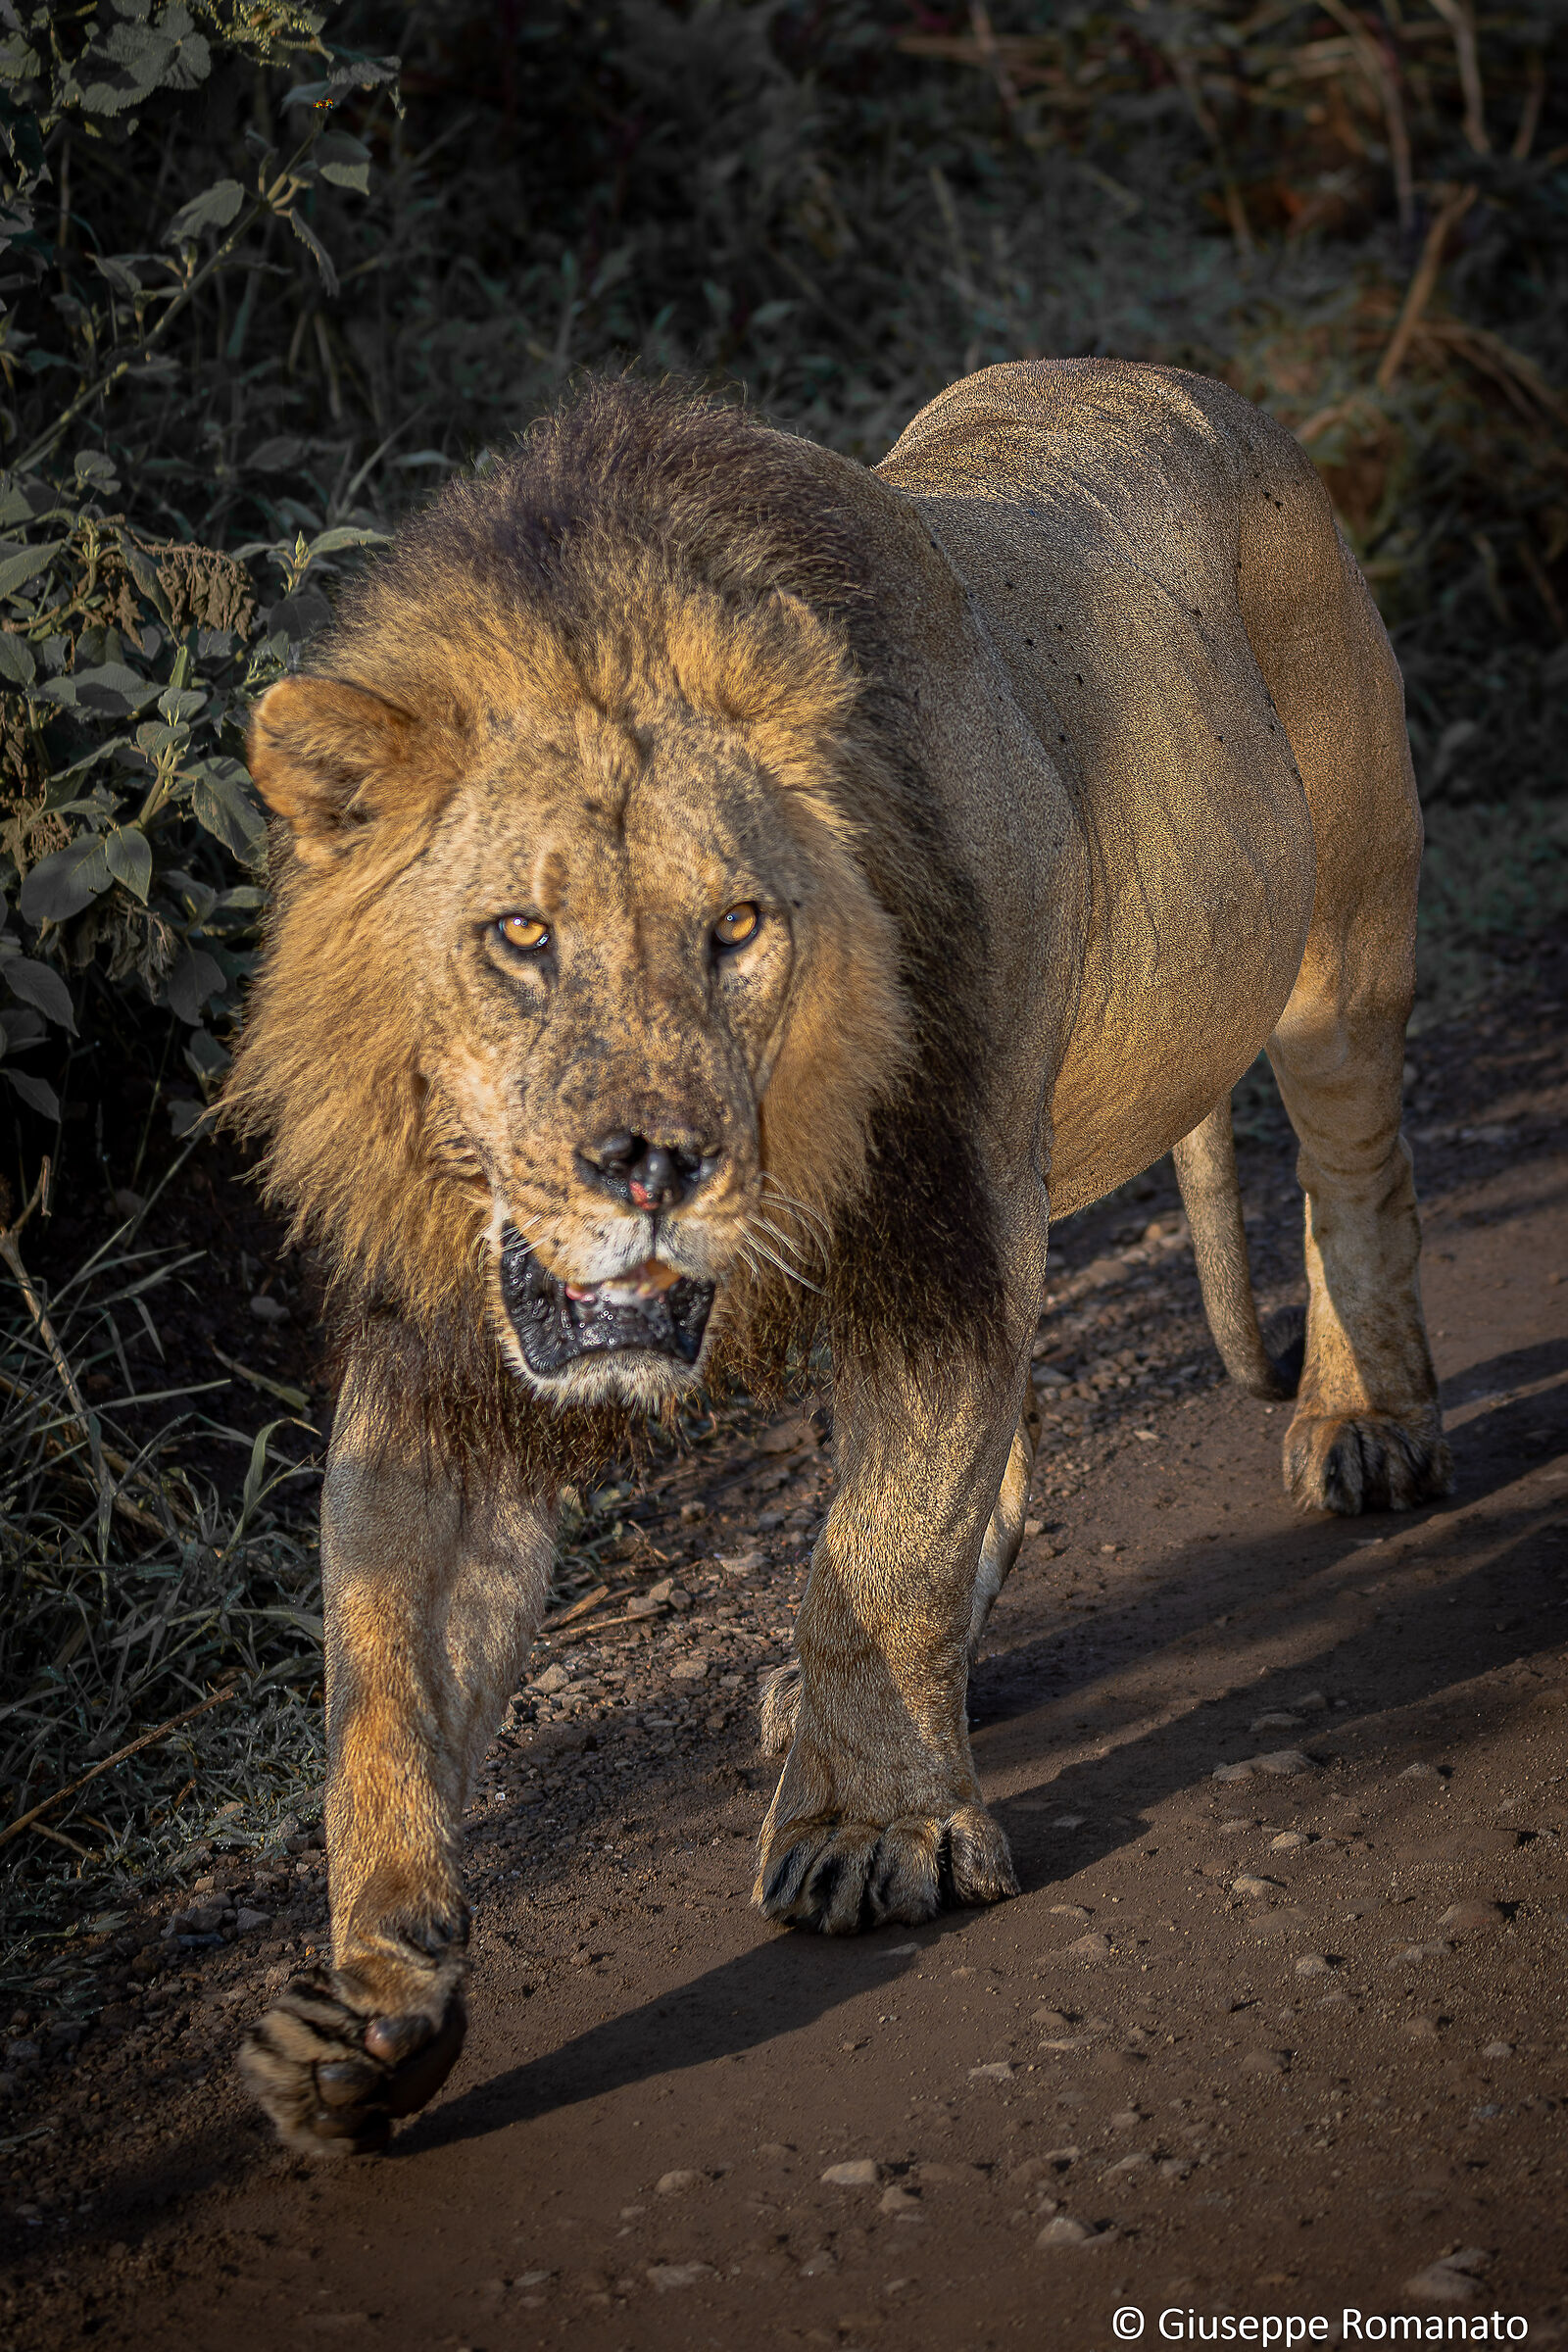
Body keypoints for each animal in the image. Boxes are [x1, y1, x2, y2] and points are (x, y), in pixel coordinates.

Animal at [229, 362, 1449, 2156]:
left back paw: (1366, 1430)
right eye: (521, 937)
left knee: (1356, 1174)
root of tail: (1179, 382)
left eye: (737, 928)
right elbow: (384, 1682)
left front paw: (878, 1838)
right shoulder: (449, 1347)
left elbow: (871, 1557)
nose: (651, 1168)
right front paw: (371, 2013)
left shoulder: (945, 1208)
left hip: (1343, 938)